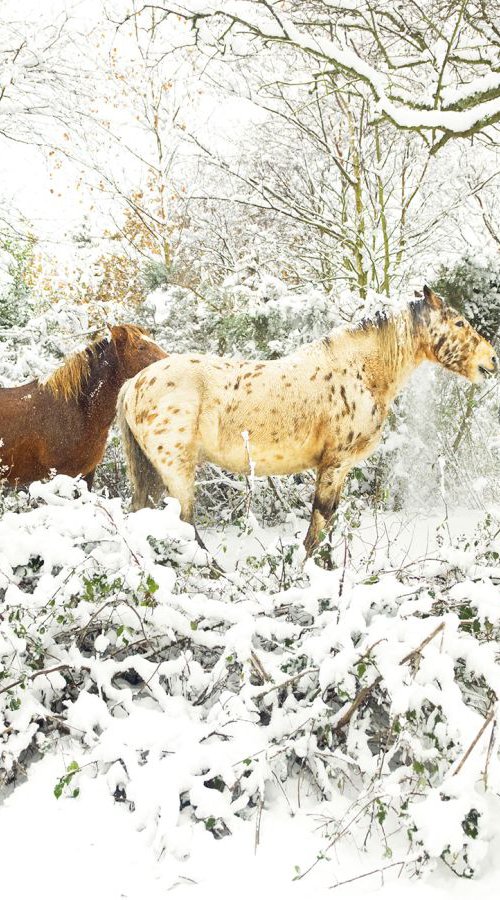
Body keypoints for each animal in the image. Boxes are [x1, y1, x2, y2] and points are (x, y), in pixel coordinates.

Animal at [116, 288, 496, 556]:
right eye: (459, 323)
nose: (491, 359)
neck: (360, 372)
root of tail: (133, 383)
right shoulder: (335, 463)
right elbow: (320, 523)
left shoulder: (339, 468)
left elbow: (328, 522)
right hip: (177, 471)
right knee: (184, 525)